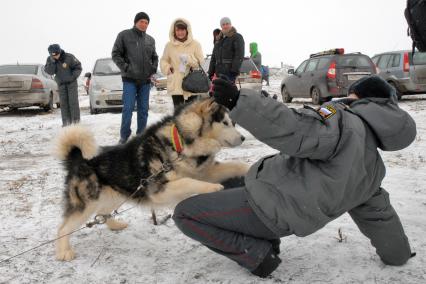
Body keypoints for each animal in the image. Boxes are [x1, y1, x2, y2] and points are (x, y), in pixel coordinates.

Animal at [55, 98, 251, 260]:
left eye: (232, 122)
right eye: (225, 123)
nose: (243, 138)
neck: (180, 145)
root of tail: (78, 158)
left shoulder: (205, 172)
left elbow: (236, 165)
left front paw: (250, 169)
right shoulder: (158, 190)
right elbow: (188, 182)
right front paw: (212, 188)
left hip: (114, 197)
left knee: (102, 213)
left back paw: (115, 225)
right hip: (86, 204)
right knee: (64, 228)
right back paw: (64, 252)